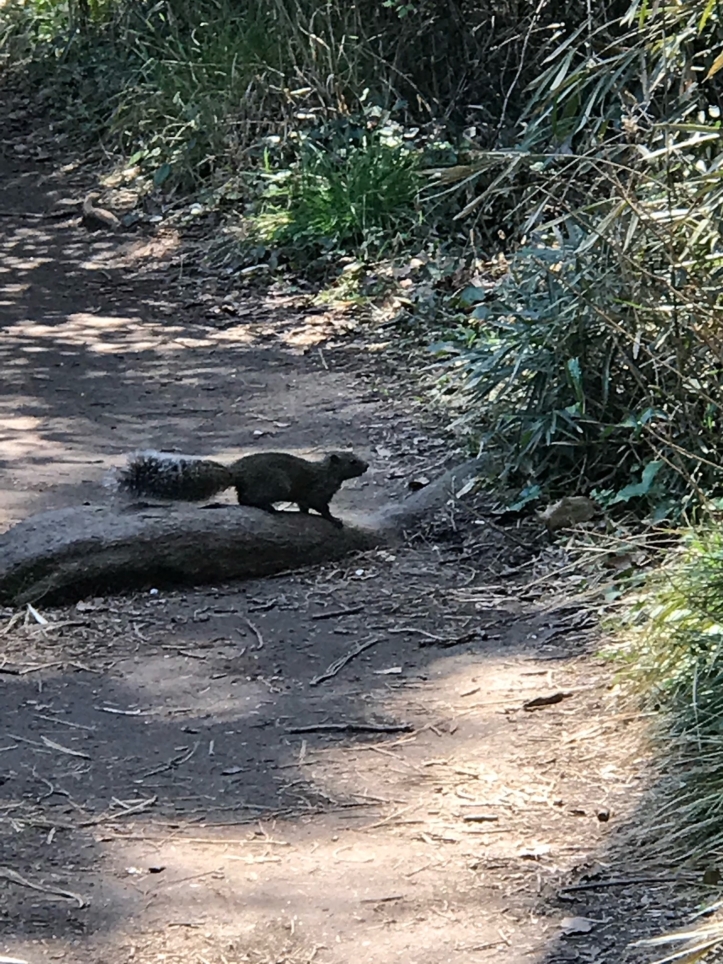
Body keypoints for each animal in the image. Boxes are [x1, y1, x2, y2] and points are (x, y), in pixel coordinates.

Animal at [110, 450, 370, 532]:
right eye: (352, 462)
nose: (367, 465)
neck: (327, 472)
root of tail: (236, 472)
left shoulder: (306, 496)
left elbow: (305, 507)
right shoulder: (317, 491)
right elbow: (321, 508)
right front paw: (335, 520)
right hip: (276, 484)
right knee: (247, 499)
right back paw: (270, 508)